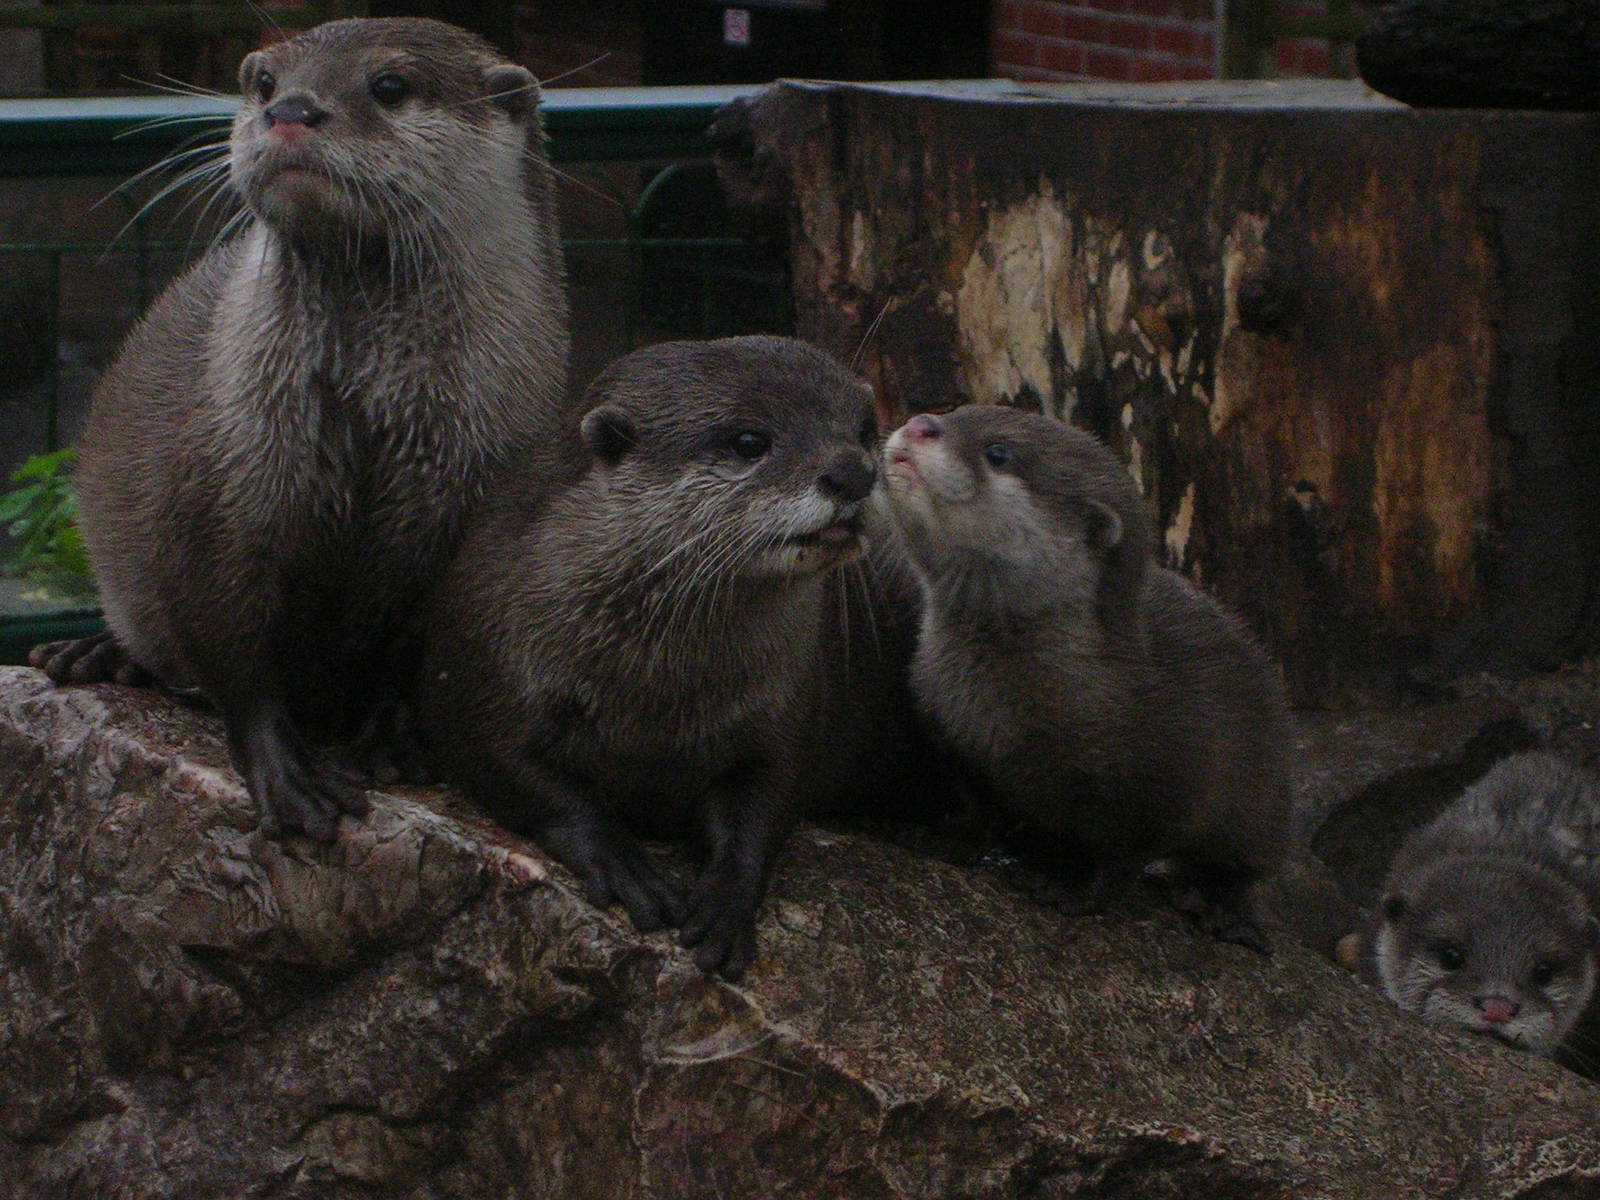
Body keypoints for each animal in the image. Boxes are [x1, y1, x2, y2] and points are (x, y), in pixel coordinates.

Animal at [30, 18, 569, 839]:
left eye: (389, 86)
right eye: (265, 84)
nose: (292, 110)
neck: (363, 419)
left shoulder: (466, 510)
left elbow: (416, 653)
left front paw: (397, 741)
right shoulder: (217, 486)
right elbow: (232, 650)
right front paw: (288, 775)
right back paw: (94, 658)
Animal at [421, 336, 880, 980]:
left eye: (865, 428)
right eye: (749, 441)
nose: (854, 473)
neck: (656, 705)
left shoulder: (789, 705)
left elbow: (765, 800)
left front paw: (726, 903)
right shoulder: (483, 664)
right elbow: (516, 771)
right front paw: (622, 862)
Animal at [881, 406, 1292, 949]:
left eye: (998, 452)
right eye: (953, 411)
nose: (921, 423)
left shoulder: (1157, 787)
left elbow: (1117, 858)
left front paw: (1069, 890)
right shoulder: (956, 738)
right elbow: (976, 806)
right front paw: (943, 837)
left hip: (1263, 792)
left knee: (1247, 862)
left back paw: (1220, 908)